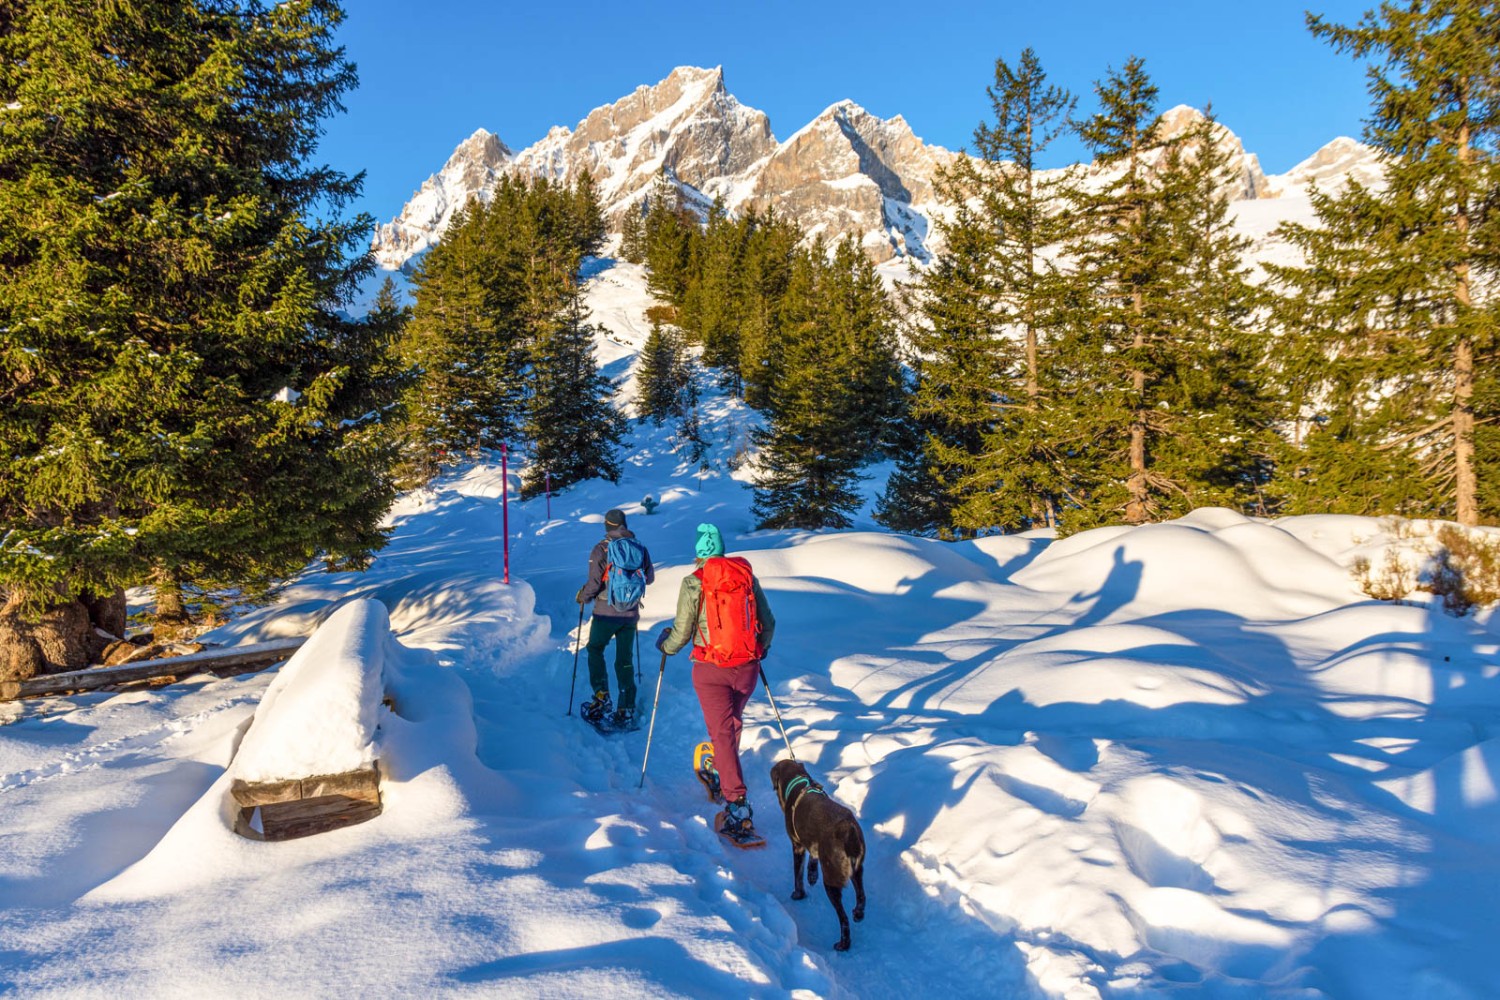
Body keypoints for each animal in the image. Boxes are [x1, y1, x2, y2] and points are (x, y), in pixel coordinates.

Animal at [774, 761, 870, 953]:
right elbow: (813, 859)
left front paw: (798, 894)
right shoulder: (814, 844)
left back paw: (843, 944)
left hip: (831, 880)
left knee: (843, 918)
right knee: (861, 896)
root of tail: (847, 831)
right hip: (857, 870)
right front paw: (812, 875)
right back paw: (858, 913)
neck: (798, 782)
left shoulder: (797, 845)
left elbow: (797, 874)